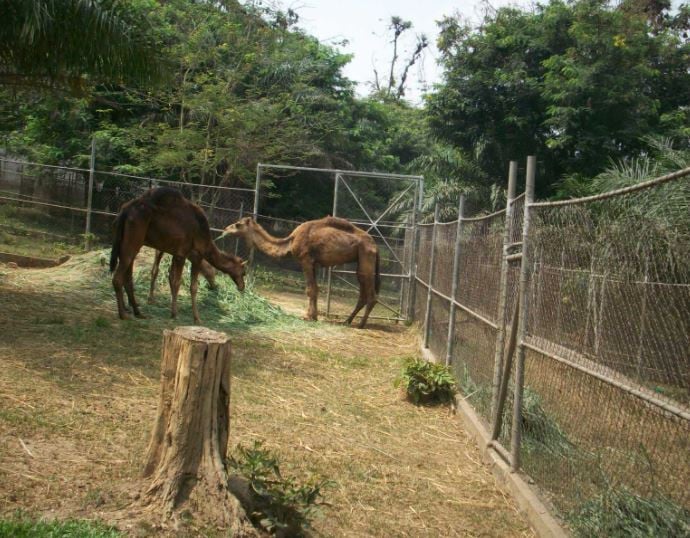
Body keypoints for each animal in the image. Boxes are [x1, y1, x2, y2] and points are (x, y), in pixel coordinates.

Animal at [109, 186, 246, 320]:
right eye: (243, 273)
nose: (242, 287)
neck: (204, 238)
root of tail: (125, 211)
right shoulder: (189, 254)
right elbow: (187, 285)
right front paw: (191, 317)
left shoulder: (177, 254)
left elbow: (173, 279)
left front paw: (175, 312)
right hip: (133, 242)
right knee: (118, 277)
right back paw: (124, 314)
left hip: (125, 243)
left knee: (128, 277)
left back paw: (137, 312)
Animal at [222, 214, 378, 326]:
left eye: (237, 224)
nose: (225, 229)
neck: (290, 242)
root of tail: (375, 245)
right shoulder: (314, 263)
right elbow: (315, 288)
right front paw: (313, 316)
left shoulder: (305, 259)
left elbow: (310, 289)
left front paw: (307, 317)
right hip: (361, 261)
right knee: (363, 293)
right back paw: (347, 321)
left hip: (366, 257)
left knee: (371, 294)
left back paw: (361, 324)